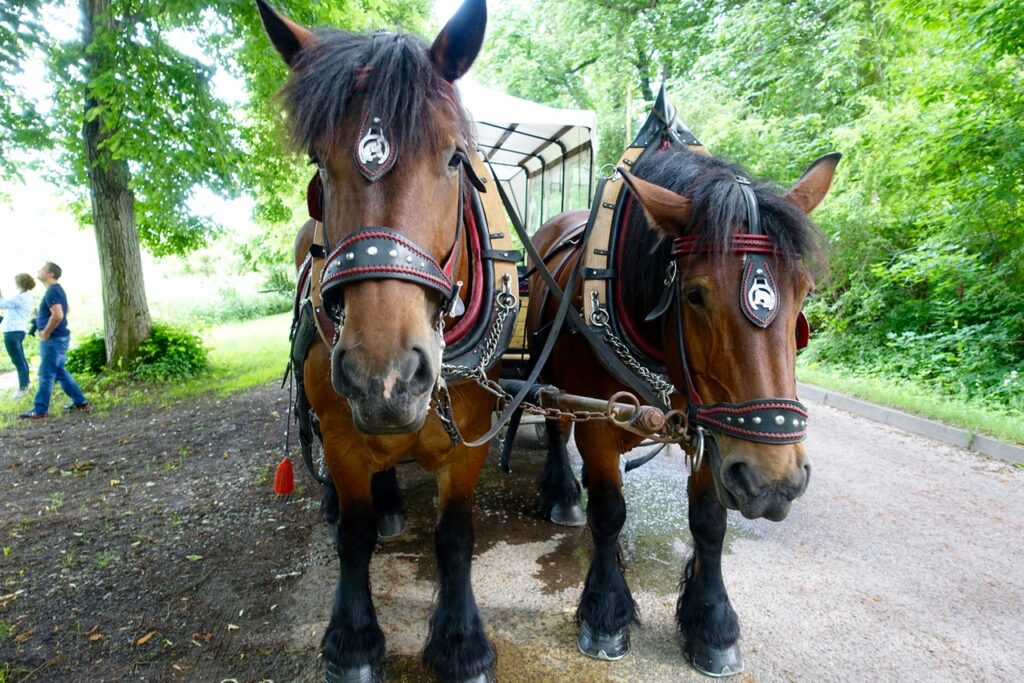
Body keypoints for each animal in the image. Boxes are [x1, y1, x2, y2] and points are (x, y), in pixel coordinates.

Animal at [256, 2, 499, 679]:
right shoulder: (343, 435)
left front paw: (460, 639)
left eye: (454, 158)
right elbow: (355, 536)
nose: (383, 378)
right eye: (318, 163)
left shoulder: (469, 440)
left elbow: (456, 535)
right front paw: (353, 637)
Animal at [528, 147, 839, 675]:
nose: (774, 482)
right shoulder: (601, 425)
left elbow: (710, 521)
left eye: (804, 291)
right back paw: (565, 493)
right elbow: (609, 513)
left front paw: (711, 622)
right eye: (695, 295)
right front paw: (605, 613)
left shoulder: (711, 428)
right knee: (555, 426)